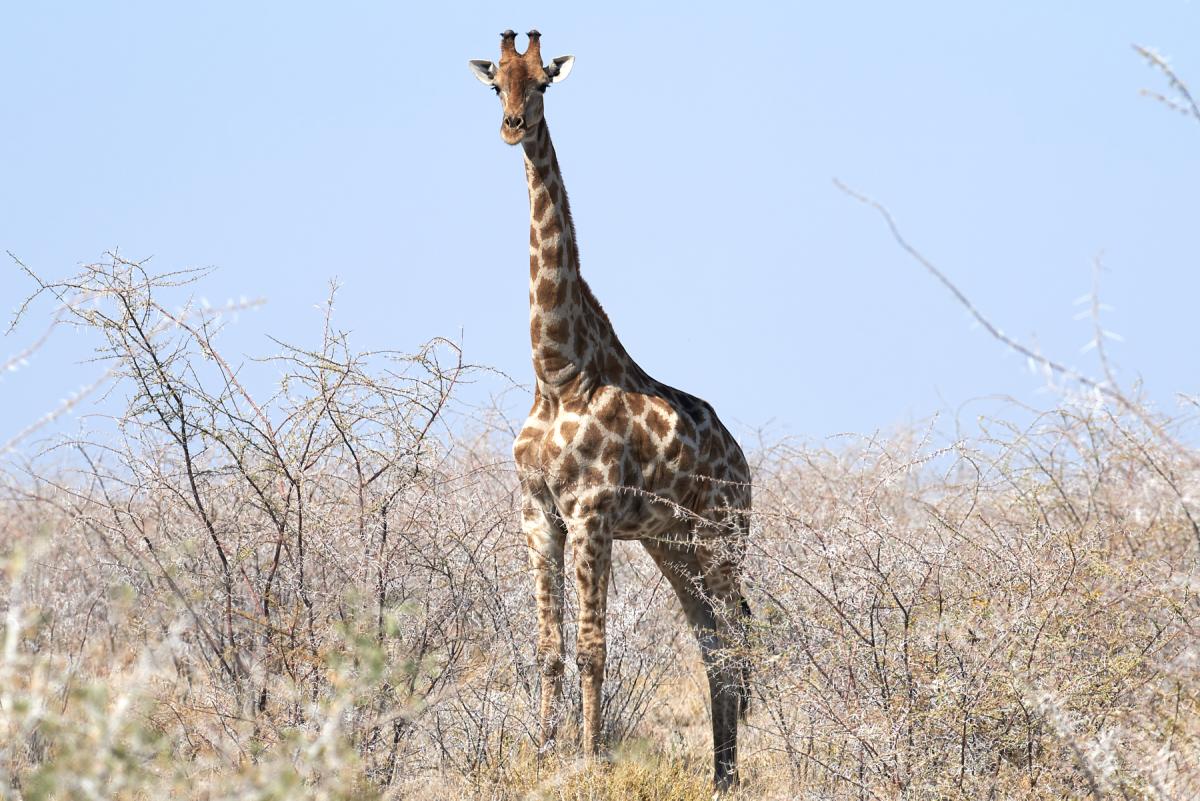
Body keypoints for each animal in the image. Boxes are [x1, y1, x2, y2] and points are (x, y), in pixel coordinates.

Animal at [469, 30, 753, 789]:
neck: (556, 370)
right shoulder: (538, 513)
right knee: (713, 642)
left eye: (542, 82)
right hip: (673, 544)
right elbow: (549, 645)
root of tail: (743, 462)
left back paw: (731, 771)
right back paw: (720, 774)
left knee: (741, 636)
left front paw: (591, 757)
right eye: (495, 83)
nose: (512, 127)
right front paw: (544, 754)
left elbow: (593, 646)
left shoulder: (591, 511)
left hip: (721, 537)